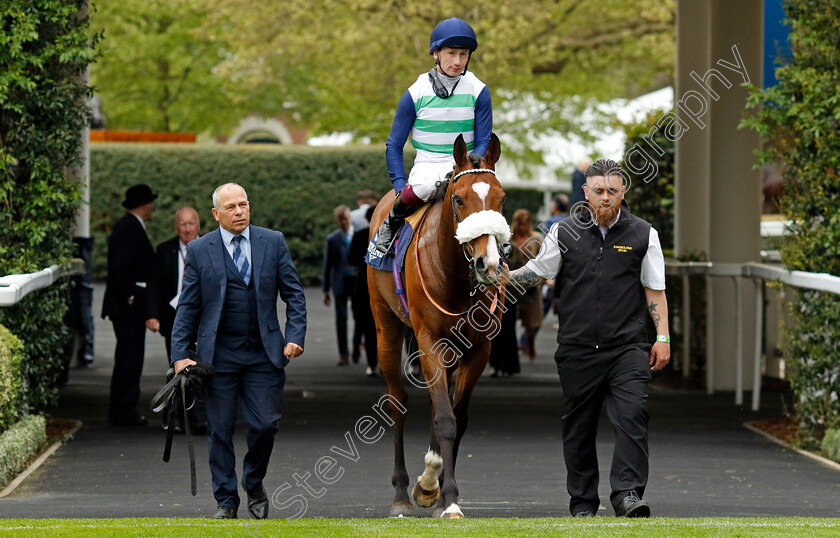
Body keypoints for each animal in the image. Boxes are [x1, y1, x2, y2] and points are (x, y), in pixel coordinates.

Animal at [366, 133, 506, 516]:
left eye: (501, 199)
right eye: (459, 199)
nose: (488, 263)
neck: (455, 276)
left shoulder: (478, 349)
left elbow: (456, 418)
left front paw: (437, 490)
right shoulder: (428, 339)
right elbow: (445, 419)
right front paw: (448, 497)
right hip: (386, 328)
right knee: (396, 402)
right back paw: (401, 494)